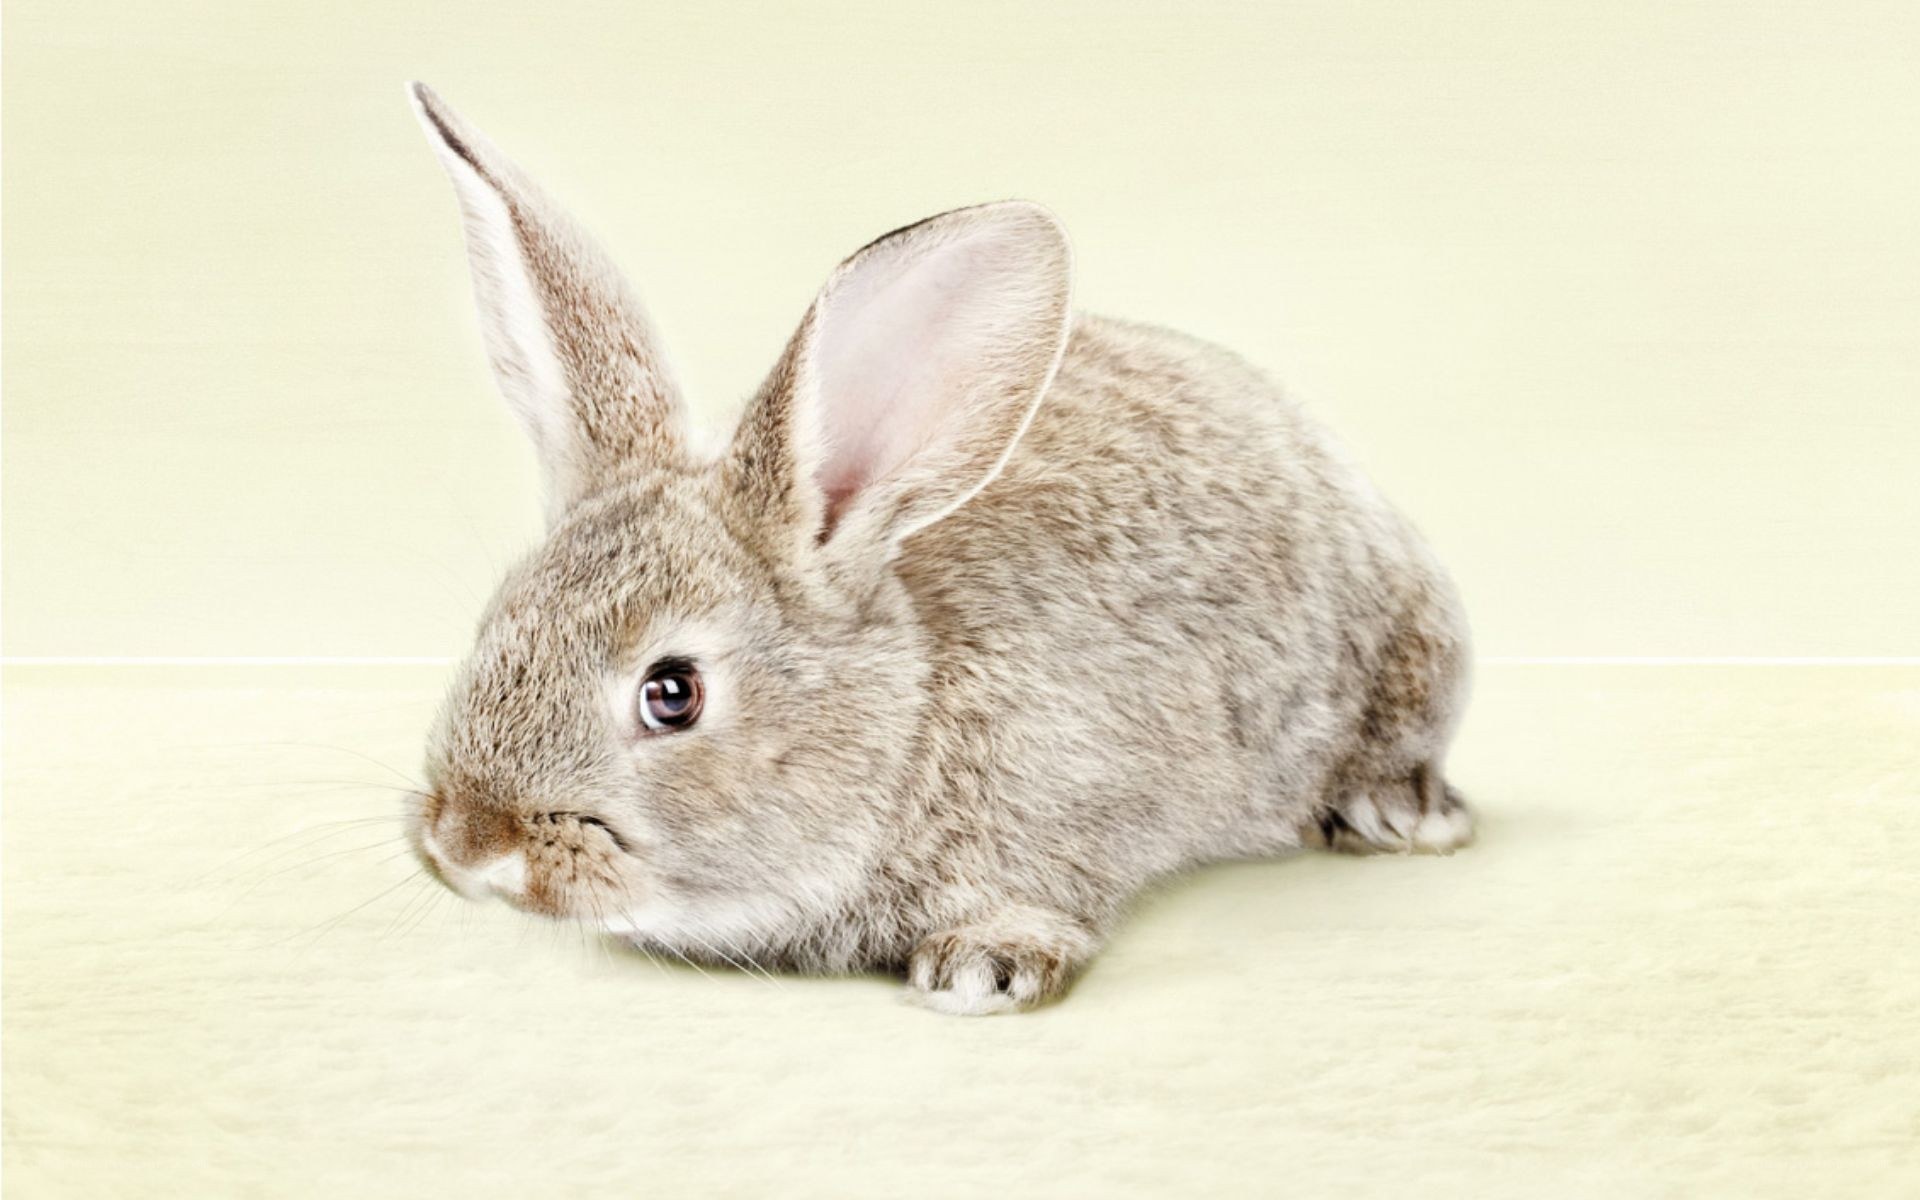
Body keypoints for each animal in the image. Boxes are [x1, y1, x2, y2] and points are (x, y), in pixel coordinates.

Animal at [404, 82, 1474, 1015]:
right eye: (495, 625)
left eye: (673, 694)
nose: (467, 845)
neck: (905, 718)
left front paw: (982, 970)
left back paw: (1401, 814)